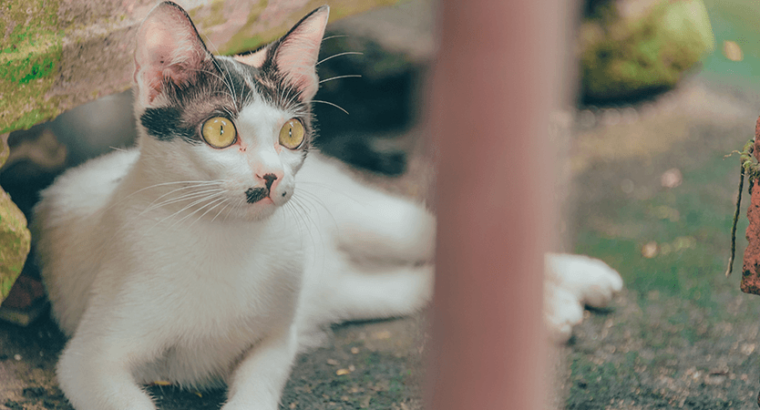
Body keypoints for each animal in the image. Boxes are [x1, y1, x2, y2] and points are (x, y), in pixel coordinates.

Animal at [31, 1, 624, 408]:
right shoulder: (90, 361)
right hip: (345, 290)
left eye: (291, 133)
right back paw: (551, 307)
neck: (224, 241)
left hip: (374, 223)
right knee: (417, 281)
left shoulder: (276, 338)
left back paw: (582, 279)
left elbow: (257, 387)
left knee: (436, 237)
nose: (271, 176)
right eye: (220, 130)